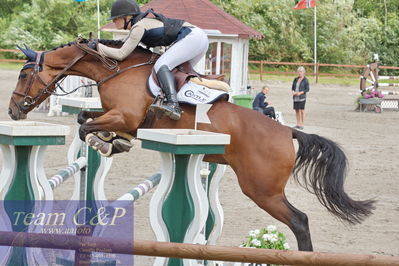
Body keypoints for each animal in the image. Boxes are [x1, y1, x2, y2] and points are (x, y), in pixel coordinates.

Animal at [8, 39, 376, 251]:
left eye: (24, 75)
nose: (12, 110)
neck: (116, 69)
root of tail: (288, 133)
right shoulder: (117, 116)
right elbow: (86, 117)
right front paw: (114, 142)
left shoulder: (125, 116)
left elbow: (87, 127)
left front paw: (106, 143)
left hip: (262, 190)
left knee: (299, 220)